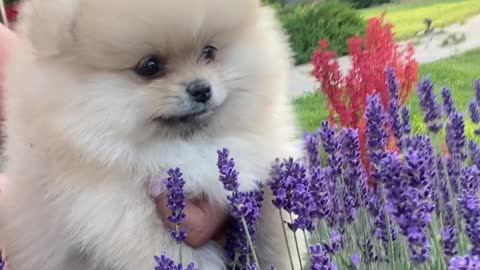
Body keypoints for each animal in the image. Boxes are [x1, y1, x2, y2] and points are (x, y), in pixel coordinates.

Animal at [0, 0, 300, 270]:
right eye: (150, 66)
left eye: (209, 52)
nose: (201, 89)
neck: (186, 145)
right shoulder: (117, 217)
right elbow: (176, 254)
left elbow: (277, 228)